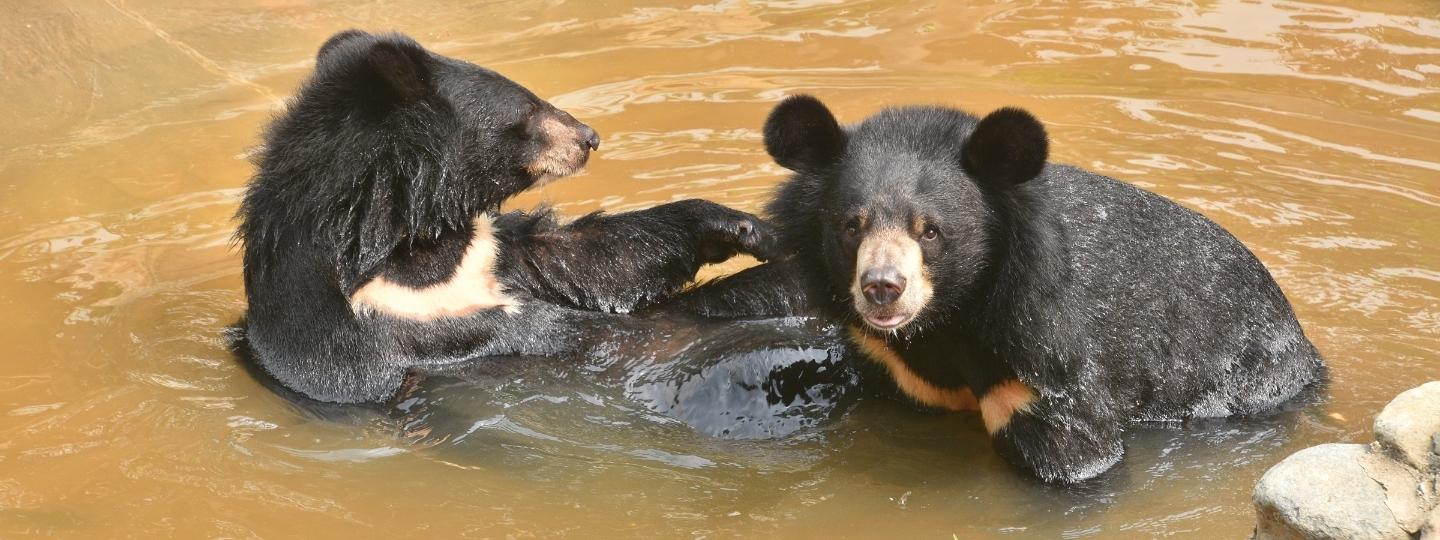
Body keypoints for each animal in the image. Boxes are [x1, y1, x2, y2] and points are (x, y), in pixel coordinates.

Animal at [233, 30, 780, 404]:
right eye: (530, 107)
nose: (590, 137)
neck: (409, 250)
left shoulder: (487, 250)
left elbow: (590, 259)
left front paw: (744, 227)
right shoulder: (371, 330)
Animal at [661, 95, 1327, 483]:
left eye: (930, 230)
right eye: (853, 225)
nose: (882, 289)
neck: (953, 316)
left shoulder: (1045, 356)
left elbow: (1075, 453)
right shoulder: (884, 355)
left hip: (1237, 376)